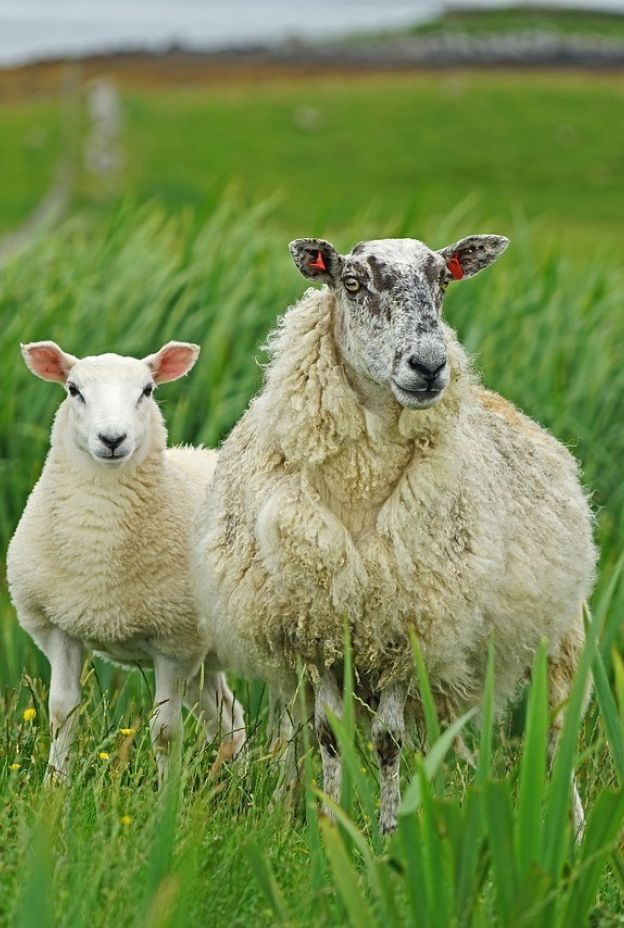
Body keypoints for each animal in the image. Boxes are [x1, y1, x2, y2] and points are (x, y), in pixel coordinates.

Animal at [7, 340, 245, 783]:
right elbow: (62, 713)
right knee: (229, 718)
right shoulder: (59, 628)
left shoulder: (174, 643)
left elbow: (165, 731)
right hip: (206, 661)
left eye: (147, 391)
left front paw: (167, 798)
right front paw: (55, 787)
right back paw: (234, 786)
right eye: (73, 390)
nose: (112, 438)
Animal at [193, 234, 596, 833]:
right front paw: (329, 828)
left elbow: (387, 741)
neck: (361, 484)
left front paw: (387, 834)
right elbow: (328, 735)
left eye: (444, 281)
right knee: (298, 735)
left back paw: (571, 833)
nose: (429, 365)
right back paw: (291, 806)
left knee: (556, 737)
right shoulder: (319, 629)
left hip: (560, 639)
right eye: (352, 282)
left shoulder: (405, 626)